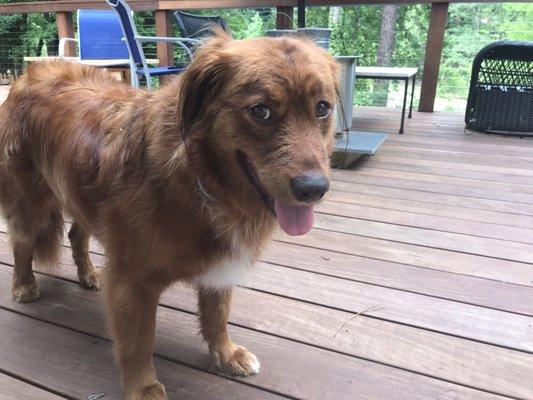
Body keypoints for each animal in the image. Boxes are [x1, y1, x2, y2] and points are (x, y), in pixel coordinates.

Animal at [0, 32, 338, 400]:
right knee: (21, 244)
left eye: (322, 108)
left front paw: (225, 354)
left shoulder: (220, 268)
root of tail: (27, 76)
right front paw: (143, 388)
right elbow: (138, 343)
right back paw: (24, 285)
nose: (314, 189)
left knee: (77, 234)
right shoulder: (131, 282)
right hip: (30, 203)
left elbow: (217, 315)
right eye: (260, 111)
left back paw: (88, 274)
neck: (202, 178)